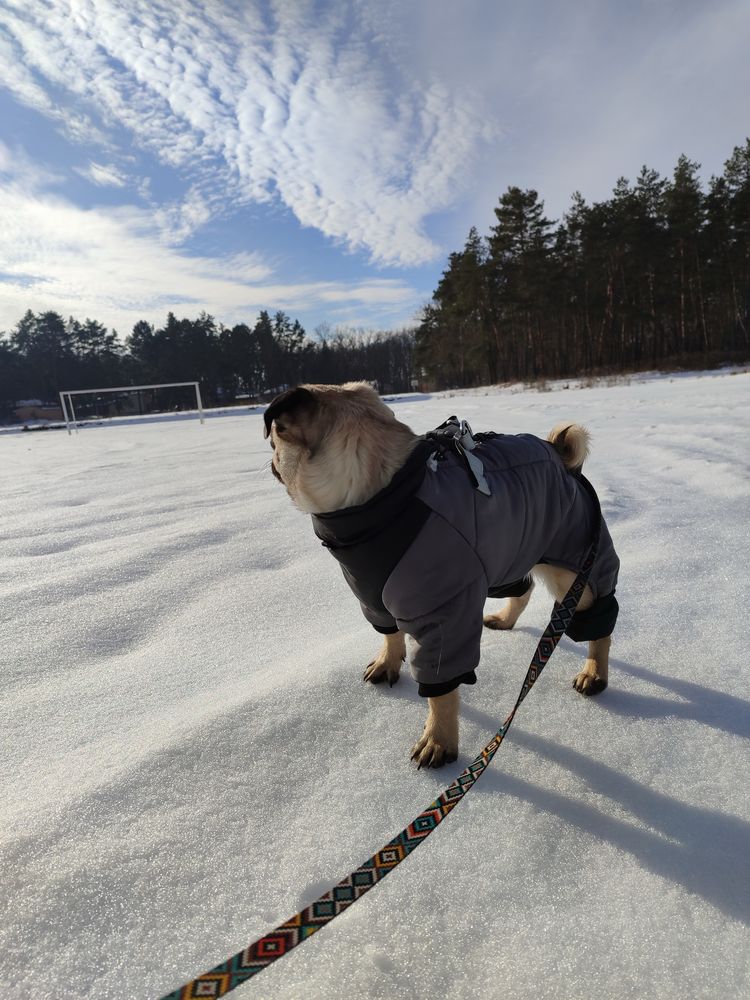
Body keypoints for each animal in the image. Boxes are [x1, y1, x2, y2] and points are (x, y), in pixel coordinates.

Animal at [268, 380, 620, 764]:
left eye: (274, 442)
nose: (270, 461)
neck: (383, 500)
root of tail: (560, 456)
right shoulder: (373, 596)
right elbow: (389, 635)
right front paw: (388, 662)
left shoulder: (443, 620)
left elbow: (440, 691)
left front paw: (439, 739)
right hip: (507, 553)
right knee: (523, 587)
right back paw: (506, 620)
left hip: (574, 569)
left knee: (599, 621)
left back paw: (595, 673)